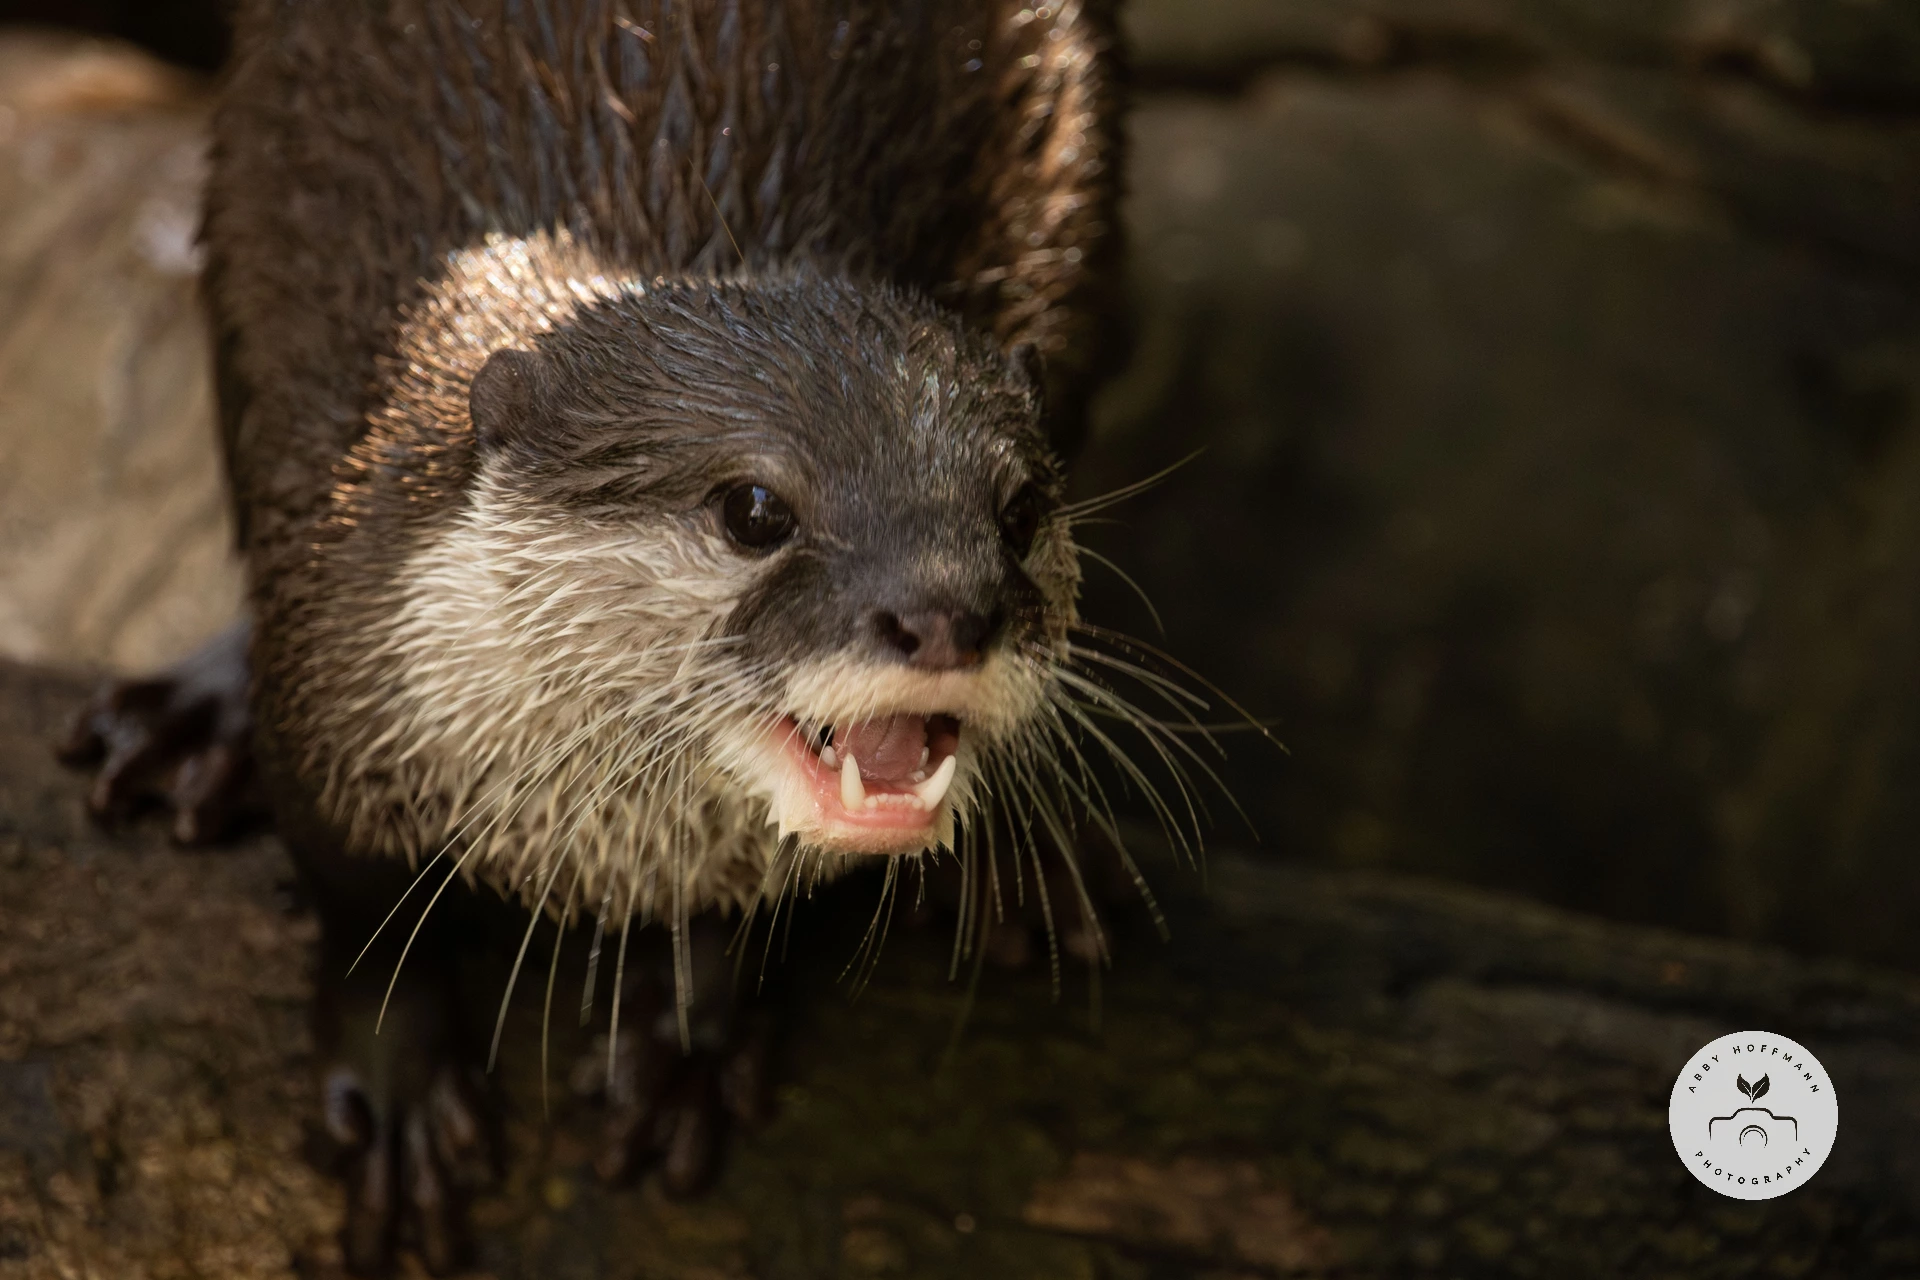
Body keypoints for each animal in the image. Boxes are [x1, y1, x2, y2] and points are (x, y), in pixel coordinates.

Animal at [61, 1, 1133, 1273]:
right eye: (755, 508)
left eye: (1018, 511)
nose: (949, 611)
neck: (595, 846)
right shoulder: (332, 687)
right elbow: (357, 906)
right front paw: (395, 1090)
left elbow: (740, 911)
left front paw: (685, 1040)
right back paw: (186, 721)